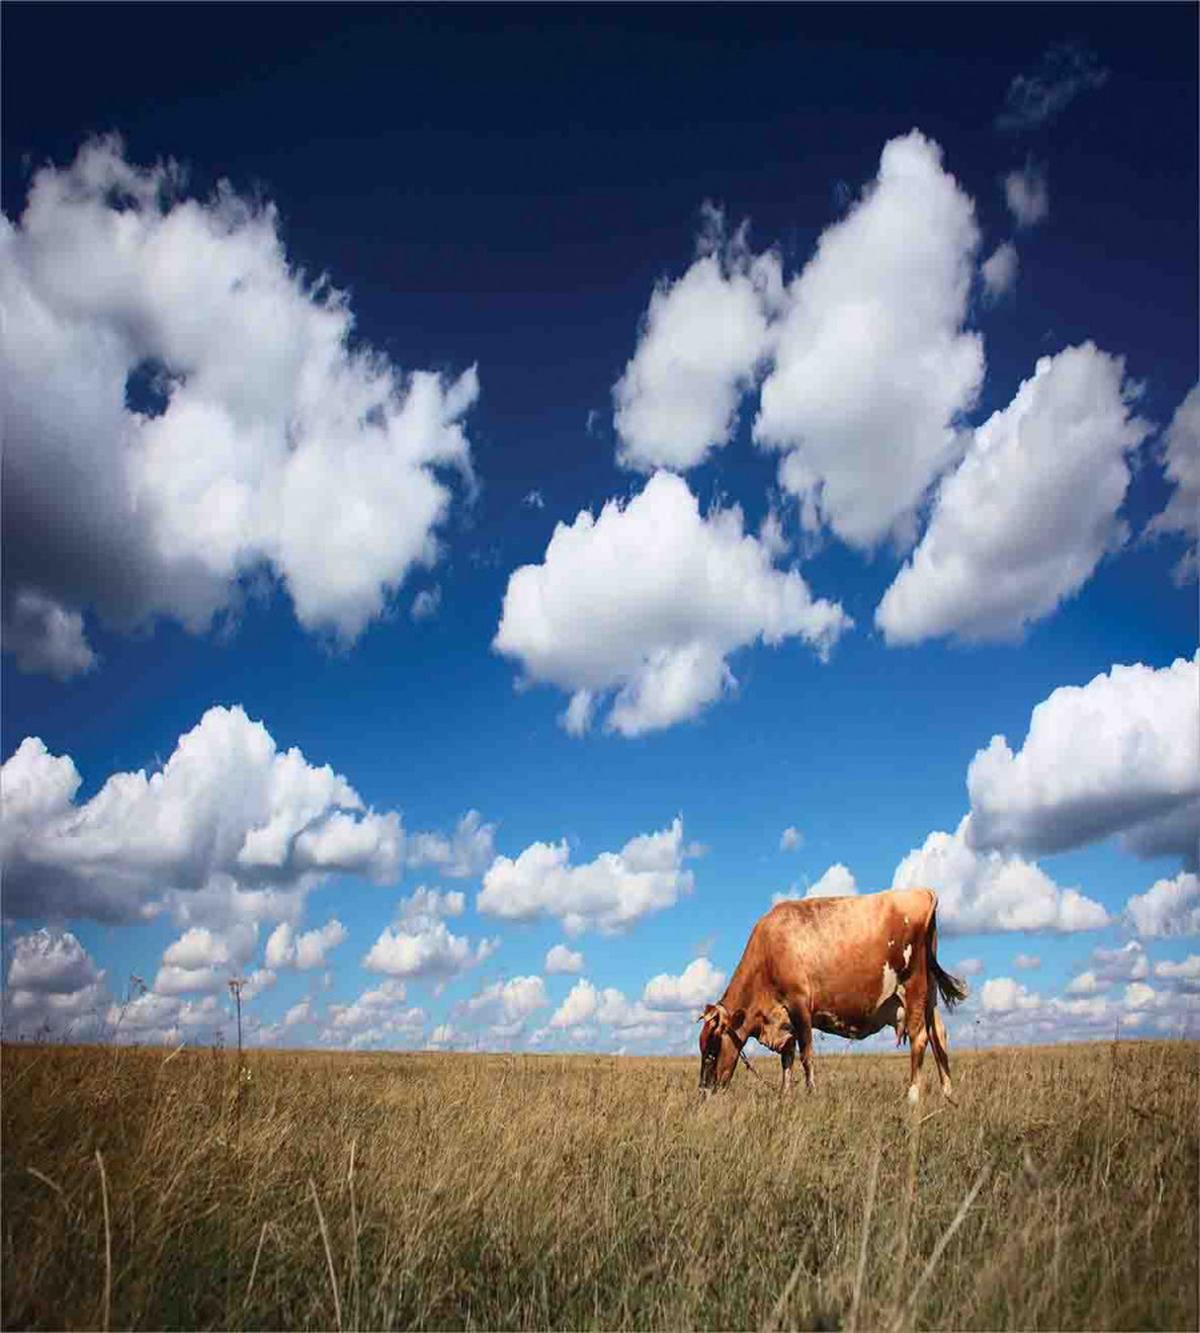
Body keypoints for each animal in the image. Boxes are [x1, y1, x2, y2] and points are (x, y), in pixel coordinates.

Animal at [696, 887, 967, 1104]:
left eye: (711, 1052)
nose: (703, 1094)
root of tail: (922, 891)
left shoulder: (799, 1005)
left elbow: (806, 1055)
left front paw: (811, 1094)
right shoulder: (785, 1018)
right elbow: (787, 1059)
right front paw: (785, 1097)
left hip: (914, 988)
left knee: (919, 1037)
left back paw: (912, 1096)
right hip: (929, 994)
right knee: (938, 1034)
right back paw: (948, 1094)